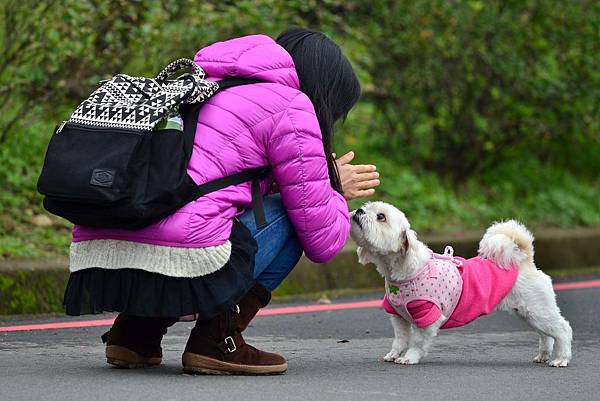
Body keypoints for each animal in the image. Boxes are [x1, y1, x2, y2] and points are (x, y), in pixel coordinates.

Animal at [352, 202, 572, 368]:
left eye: (381, 217)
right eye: (366, 206)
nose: (359, 211)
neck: (405, 272)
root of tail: (525, 260)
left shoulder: (428, 315)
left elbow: (417, 342)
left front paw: (409, 357)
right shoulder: (398, 315)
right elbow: (400, 339)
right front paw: (394, 354)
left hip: (538, 310)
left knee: (562, 330)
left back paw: (561, 358)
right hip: (529, 313)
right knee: (545, 334)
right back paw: (543, 355)